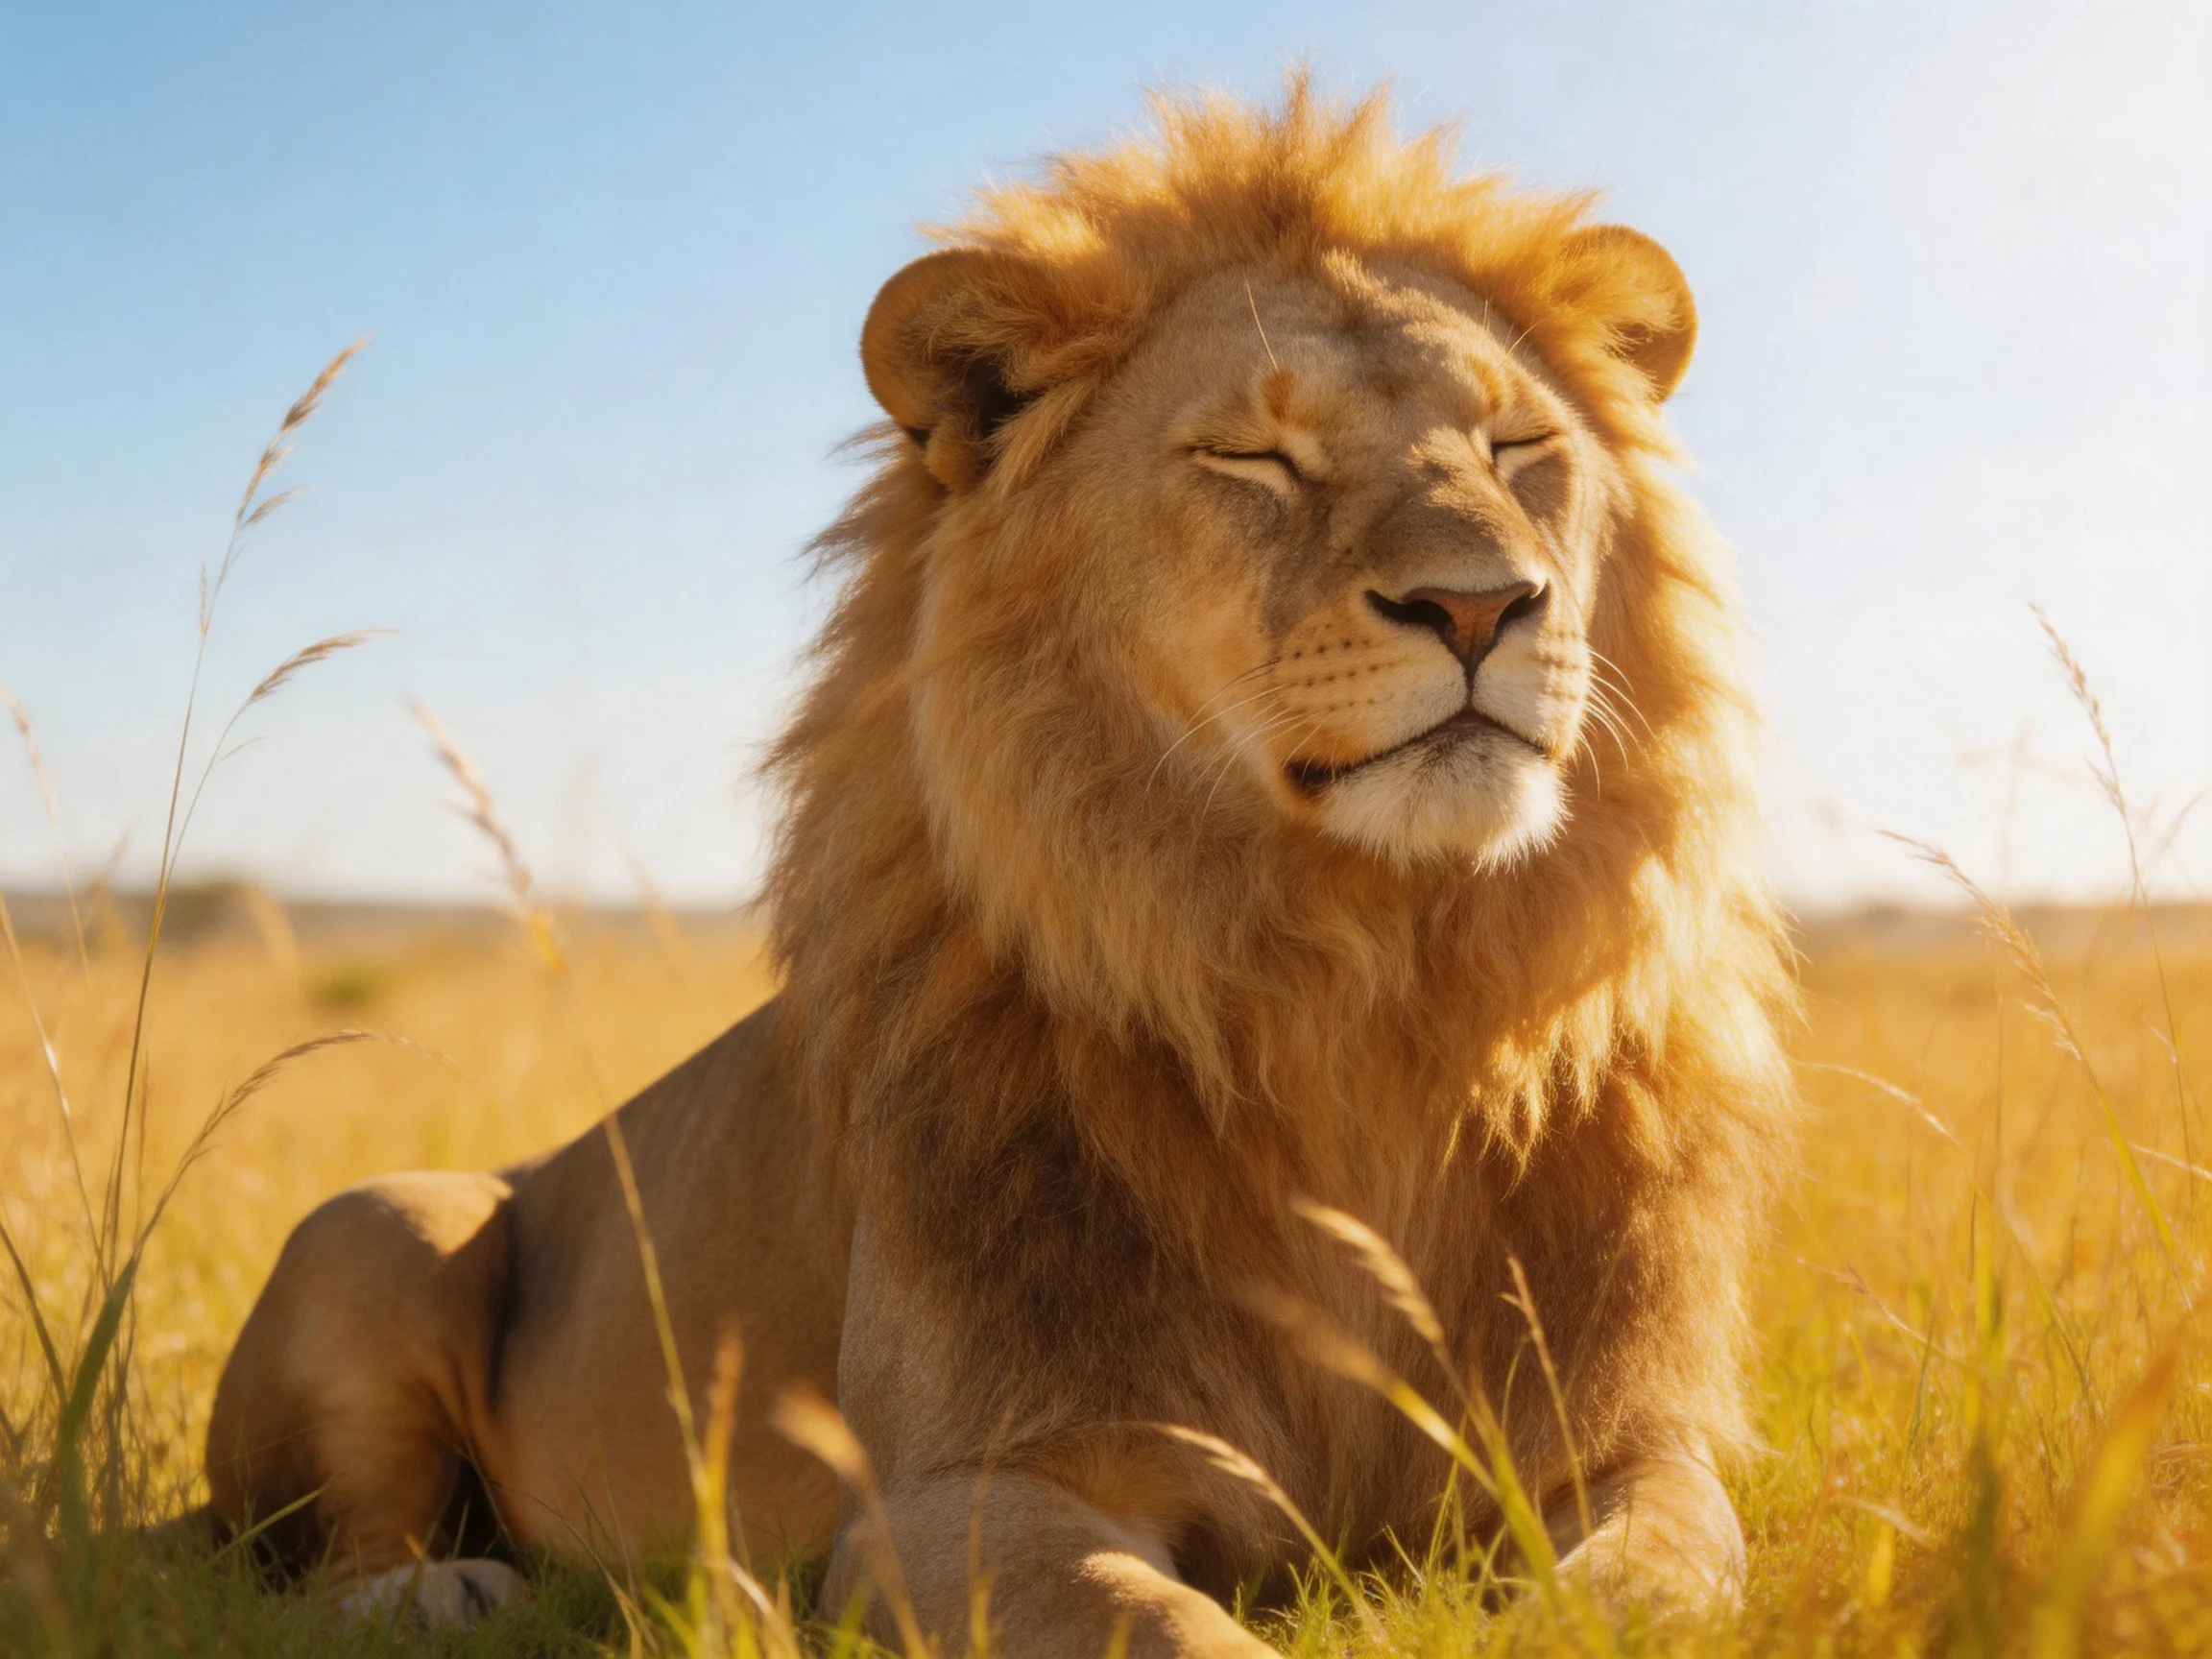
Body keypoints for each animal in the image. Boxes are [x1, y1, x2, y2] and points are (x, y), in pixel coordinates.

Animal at [201, 79, 1795, 1654]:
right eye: (1252, 456)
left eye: (1523, 449)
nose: (1482, 604)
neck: (1359, 995)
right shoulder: (951, 1496)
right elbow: (1168, 1628)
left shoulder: (1626, 1447)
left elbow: (1651, 1588)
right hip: (380, 1224)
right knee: (314, 1552)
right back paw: (450, 1590)